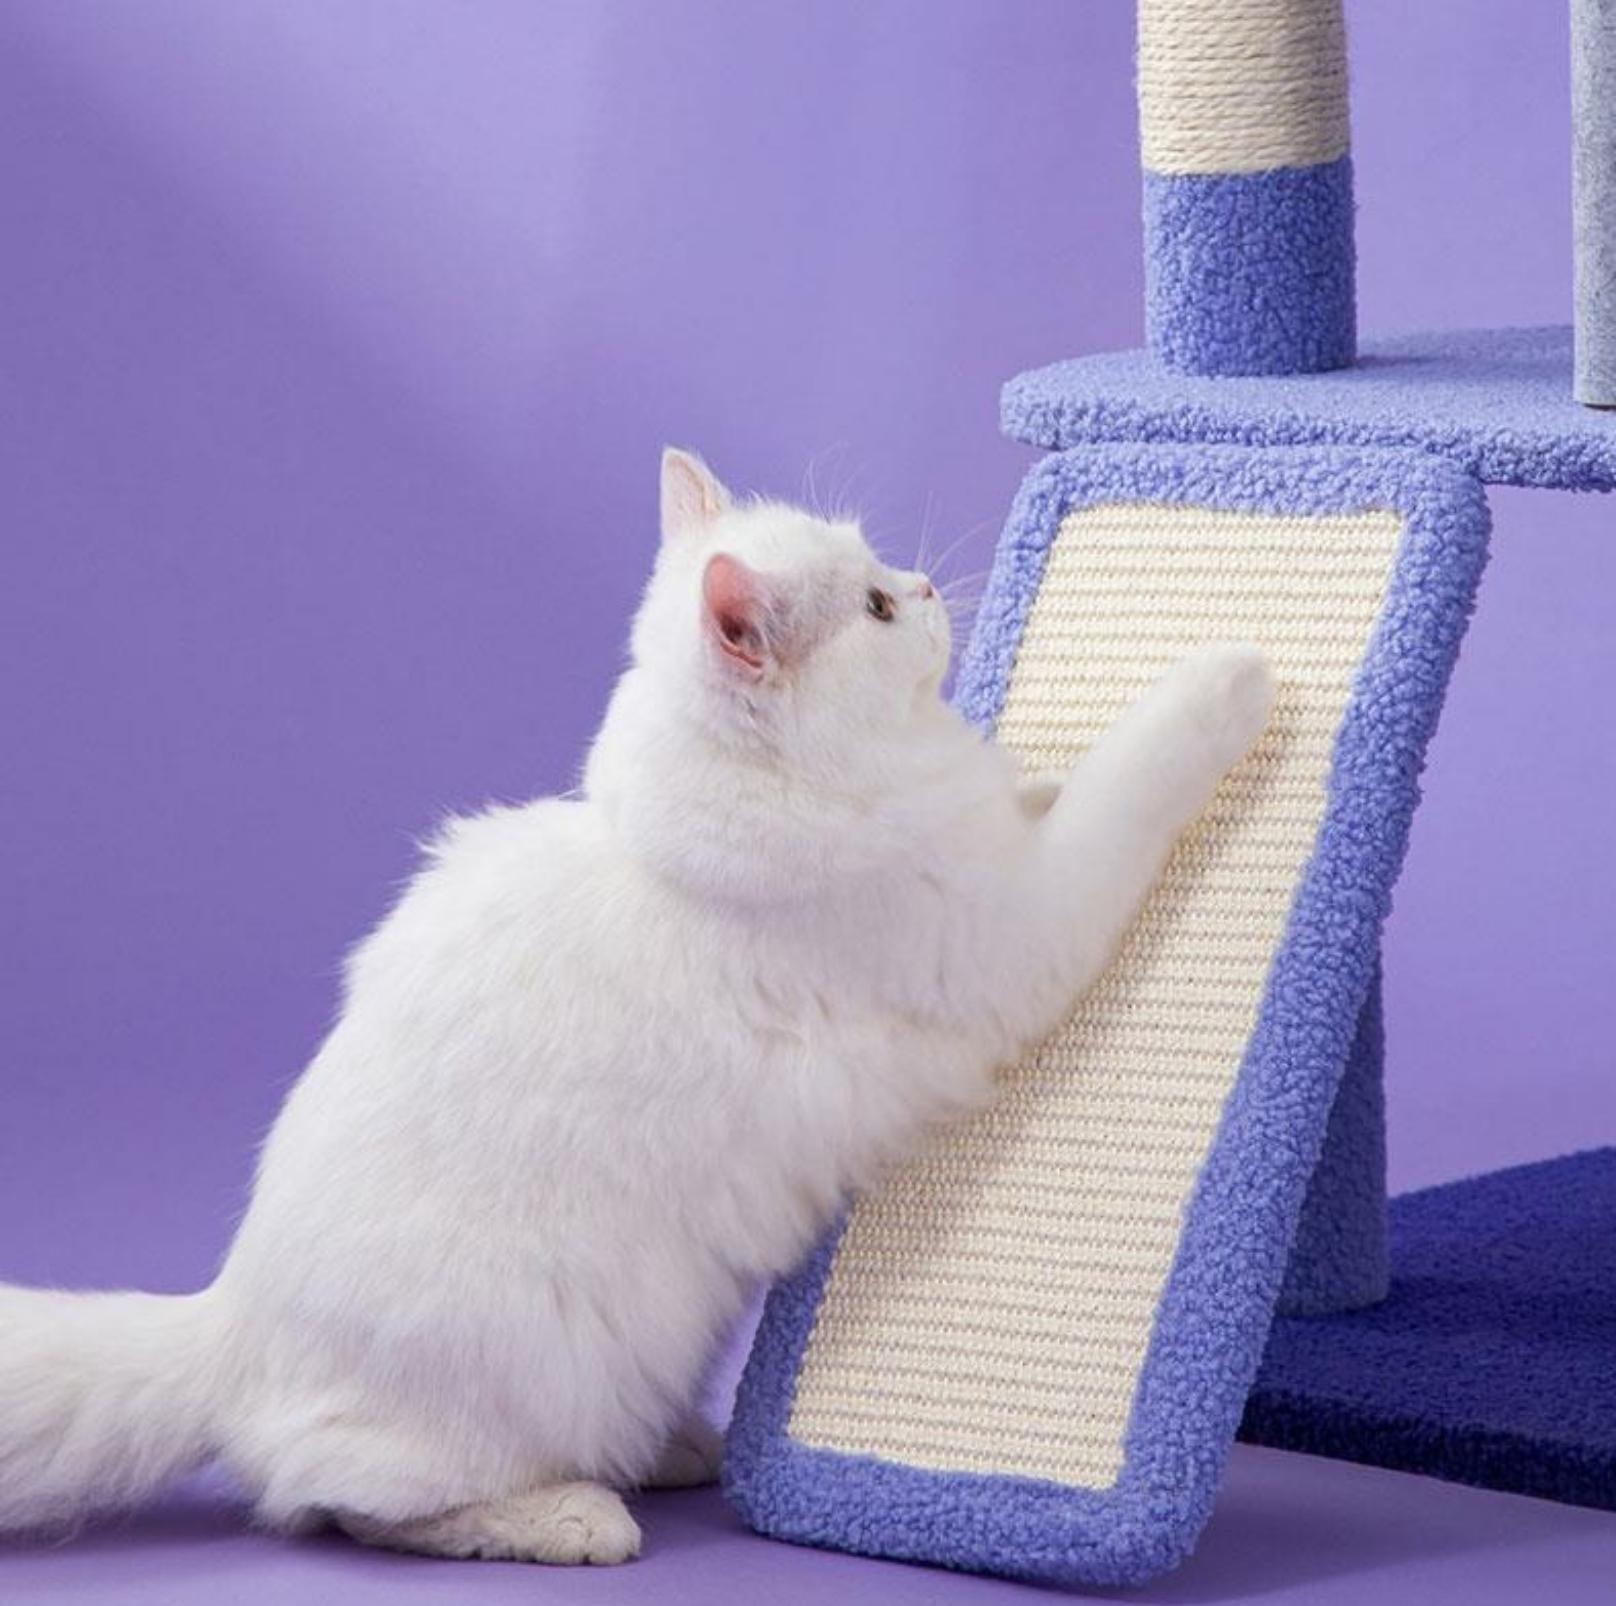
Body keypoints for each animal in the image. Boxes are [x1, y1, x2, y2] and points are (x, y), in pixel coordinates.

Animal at [0, 452, 1273, 1563]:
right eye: (872, 606)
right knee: (349, 1504)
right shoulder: (1013, 928)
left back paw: (676, 1451)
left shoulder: (992, 853)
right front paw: (1230, 671)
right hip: (515, 1375)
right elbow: (1122, 779)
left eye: (880, 575)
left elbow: (1038, 790)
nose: (918, 587)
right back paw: (578, 1514)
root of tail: (230, 1321)